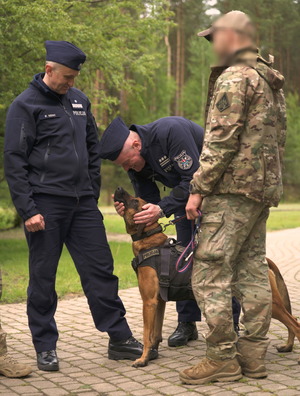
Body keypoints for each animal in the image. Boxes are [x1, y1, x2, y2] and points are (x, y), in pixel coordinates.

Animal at [114, 187, 300, 366]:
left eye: (134, 201)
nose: (119, 188)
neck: (149, 240)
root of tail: (264, 260)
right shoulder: (158, 302)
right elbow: (155, 334)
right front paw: (152, 354)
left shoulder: (148, 302)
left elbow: (147, 334)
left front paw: (142, 359)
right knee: (293, 321)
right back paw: (287, 346)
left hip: (269, 303)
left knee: (295, 323)